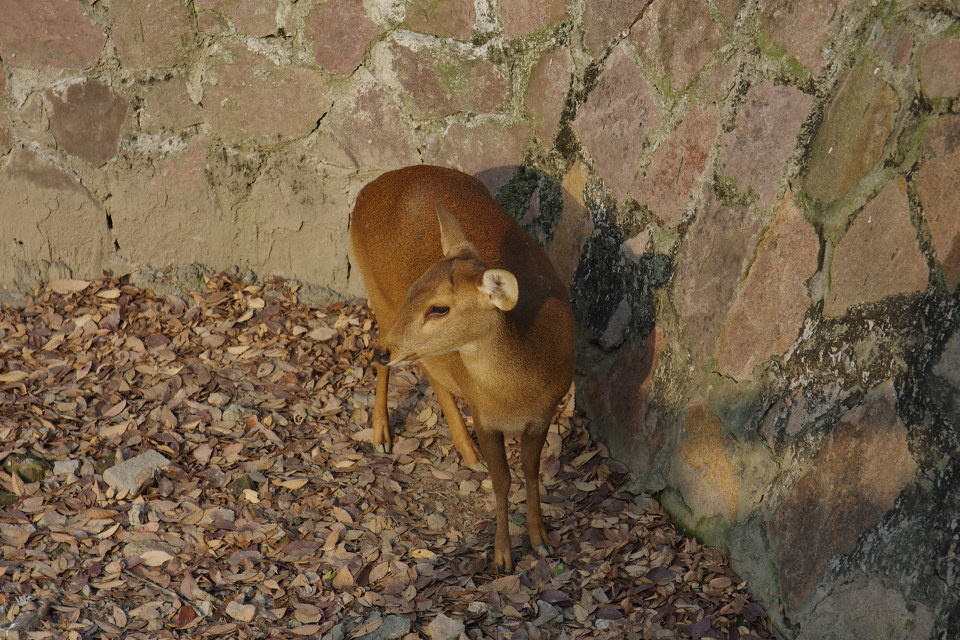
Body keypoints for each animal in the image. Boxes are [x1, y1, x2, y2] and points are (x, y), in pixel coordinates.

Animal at [349, 165, 575, 571]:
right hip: (377, 293)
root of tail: (372, 186)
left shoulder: (544, 413)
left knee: (430, 371)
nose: (384, 352)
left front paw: (541, 540)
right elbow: (502, 480)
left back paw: (466, 451)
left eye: (440, 308)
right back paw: (382, 433)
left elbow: (531, 472)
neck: (519, 391)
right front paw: (502, 555)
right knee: (387, 347)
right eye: (415, 289)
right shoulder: (484, 415)